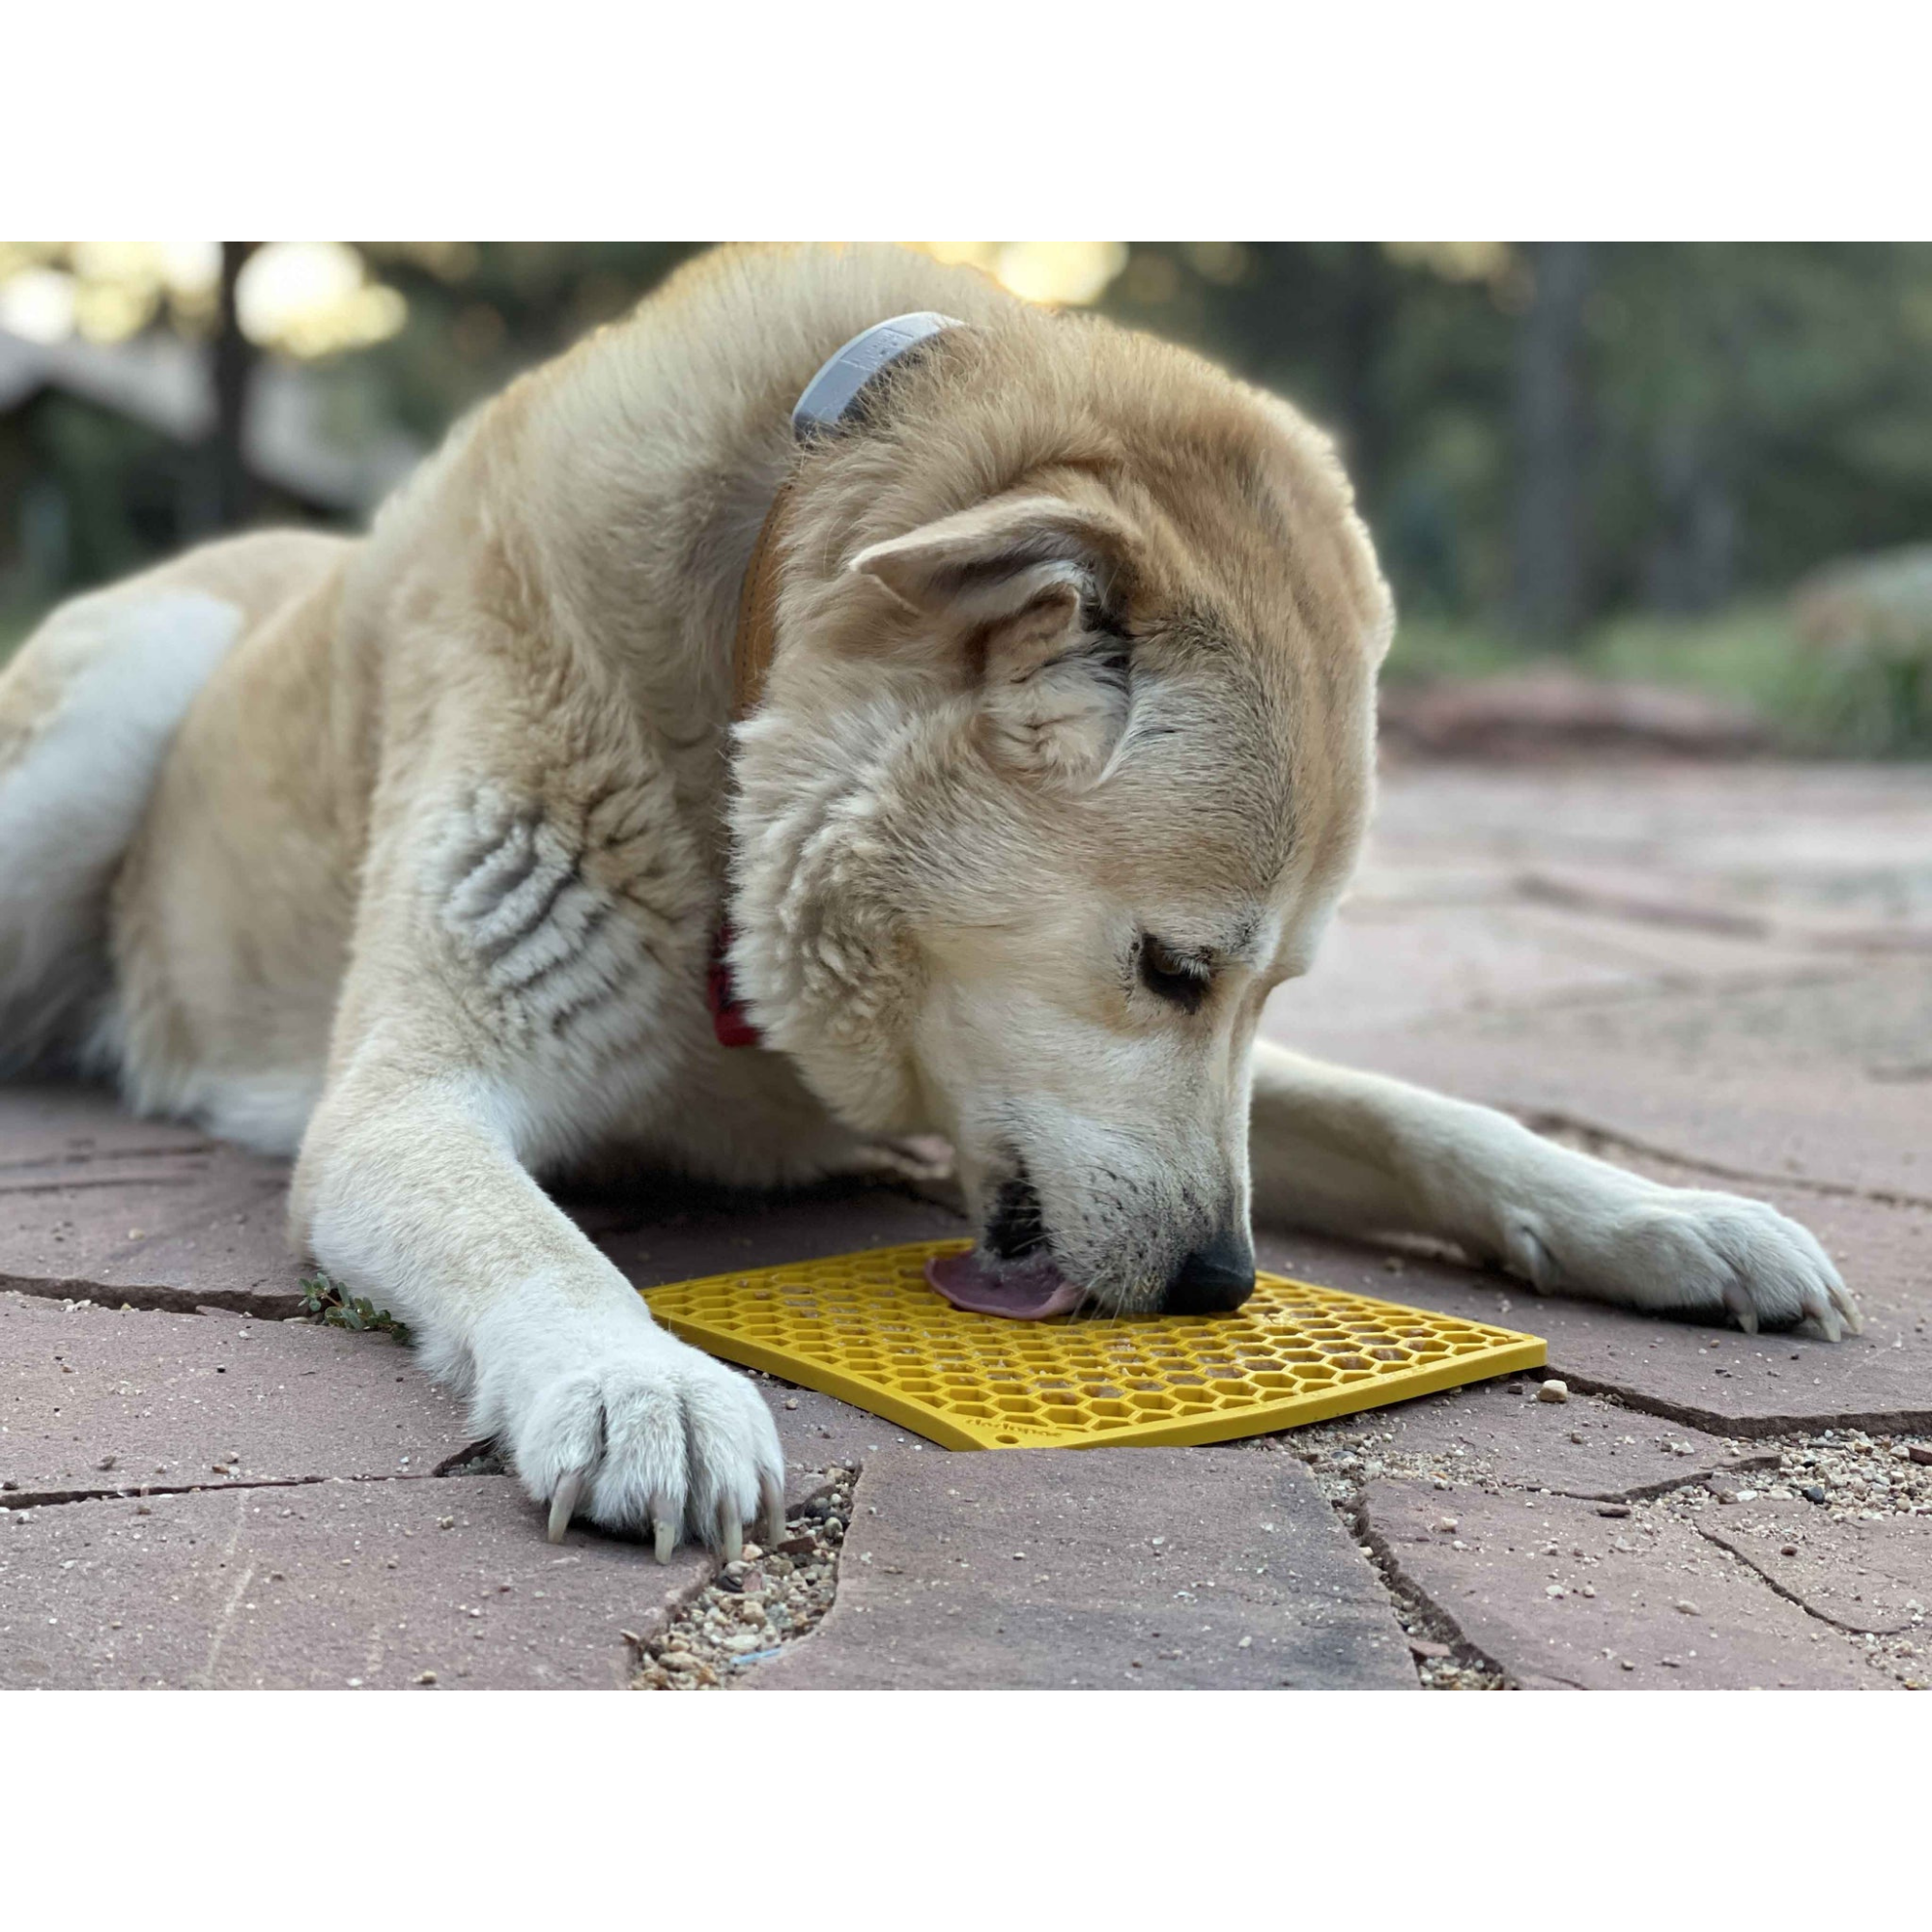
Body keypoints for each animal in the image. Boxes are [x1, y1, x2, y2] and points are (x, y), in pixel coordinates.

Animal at [0, 249, 1855, 1561]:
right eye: (1171, 967)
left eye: (1270, 991)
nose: (1221, 1289)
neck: (733, 705)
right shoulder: (402, 1106)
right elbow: (524, 1236)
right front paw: (638, 1378)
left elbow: (1425, 1118)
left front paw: (1666, 1218)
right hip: (100, 740)